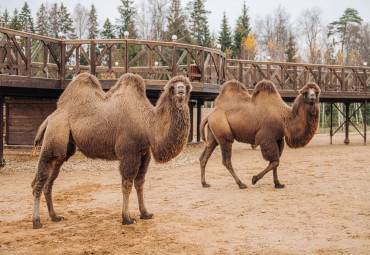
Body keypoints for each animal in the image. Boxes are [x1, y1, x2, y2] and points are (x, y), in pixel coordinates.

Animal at [30, 72, 192, 228]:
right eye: (172, 87)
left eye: (187, 86)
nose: (181, 90)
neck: (147, 124)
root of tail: (49, 118)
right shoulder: (128, 153)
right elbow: (127, 184)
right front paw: (127, 218)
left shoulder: (144, 153)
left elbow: (140, 182)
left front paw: (145, 213)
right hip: (55, 134)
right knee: (40, 180)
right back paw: (37, 222)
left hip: (65, 148)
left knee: (49, 180)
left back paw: (55, 216)